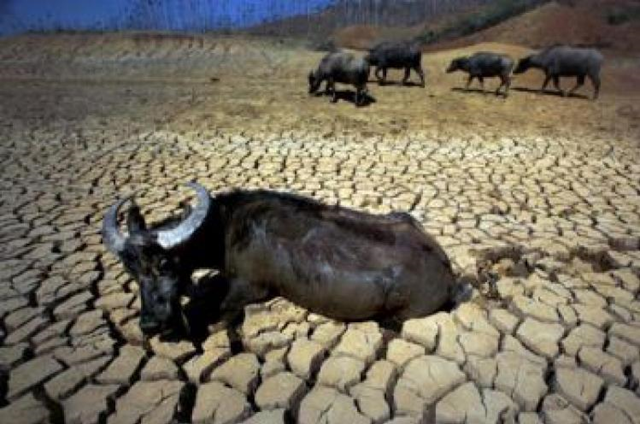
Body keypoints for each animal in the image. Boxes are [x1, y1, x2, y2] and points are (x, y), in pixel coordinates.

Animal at [103, 183, 457, 336]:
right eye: (131, 271)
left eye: (165, 264)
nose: (149, 324)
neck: (225, 228)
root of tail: (447, 269)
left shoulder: (250, 289)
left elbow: (221, 308)